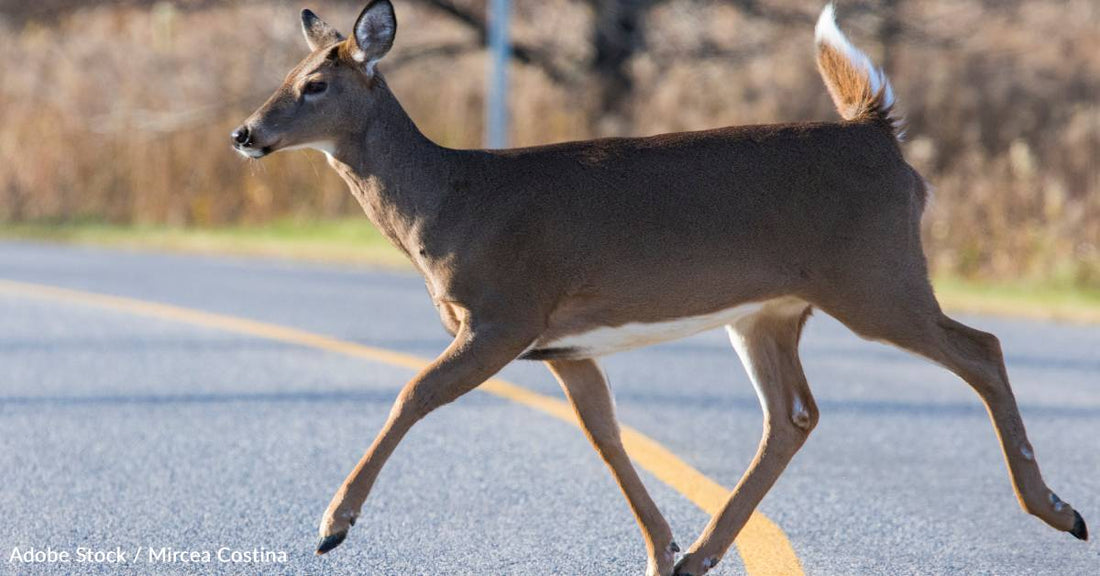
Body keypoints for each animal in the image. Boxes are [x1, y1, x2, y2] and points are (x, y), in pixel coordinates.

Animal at [232, 2, 1088, 574]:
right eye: (283, 76)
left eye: (315, 83)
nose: (245, 133)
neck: (447, 202)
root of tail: (878, 133)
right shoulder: (565, 345)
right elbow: (606, 437)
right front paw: (660, 546)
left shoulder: (503, 315)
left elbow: (412, 392)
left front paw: (332, 523)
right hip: (771, 310)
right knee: (794, 414)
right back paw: (702, 553)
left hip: (877, 275)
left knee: (981, 348)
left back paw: (1058, 511)